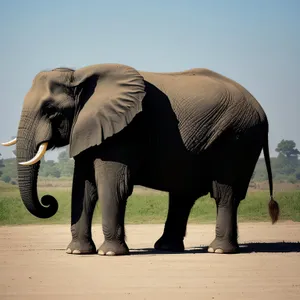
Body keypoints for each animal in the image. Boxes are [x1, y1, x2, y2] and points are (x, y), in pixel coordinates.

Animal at [1, 63, 278, 255]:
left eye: (50, 110)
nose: (49, 201)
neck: (79, 76)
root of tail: (263, 113)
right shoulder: (91, 128)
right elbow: (83, 187)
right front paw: (76, 251)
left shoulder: (126, 131)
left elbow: (111, 186)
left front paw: (109, 253)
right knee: (183, 196)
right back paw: (167, 248)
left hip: (236, 138)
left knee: (225, 192)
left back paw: (218, 250)